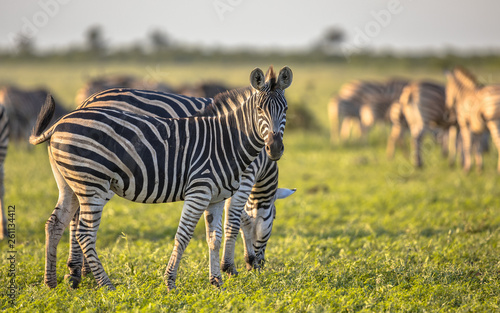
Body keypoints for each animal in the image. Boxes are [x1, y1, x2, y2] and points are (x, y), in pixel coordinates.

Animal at [29, 66, 292, 290]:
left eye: (286, 110)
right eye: (259, 111)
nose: (275, 149)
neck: (227, 139)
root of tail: (63, 120)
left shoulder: (216, 196)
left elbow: (214, 238)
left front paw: (216, 281)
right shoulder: (205, 190)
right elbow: (198, 231)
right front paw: (175, 280)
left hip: (71, 184)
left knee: (56, 223)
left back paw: (54, 281)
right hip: (93, 184)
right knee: (83, 232)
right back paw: (103, 283)